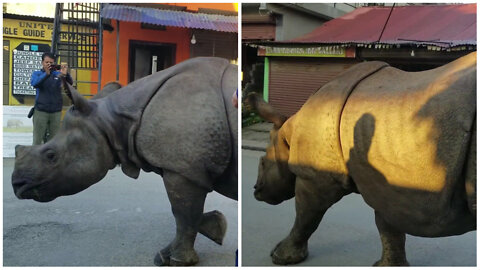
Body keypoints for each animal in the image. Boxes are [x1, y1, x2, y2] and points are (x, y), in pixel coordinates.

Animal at [10, 57, 236, 266]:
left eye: (51, 156)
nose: (16, 185)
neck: (111, 121)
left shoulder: (182, 169)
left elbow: (183, 214)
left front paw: (179, 260)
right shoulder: (186, 167)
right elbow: (189, 214)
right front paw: (215, 228)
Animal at [249, 51, 474, 266]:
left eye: (263, 162)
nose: (256, 190)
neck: (289, 134)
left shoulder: (316, 176)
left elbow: (306, 216)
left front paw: (280, 257)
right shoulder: (383, 184)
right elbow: (388, 228)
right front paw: (387, 265)